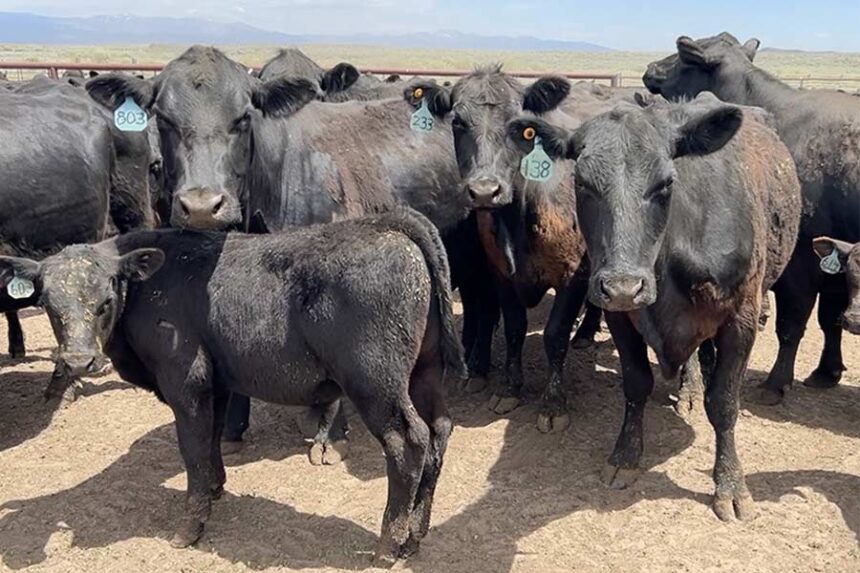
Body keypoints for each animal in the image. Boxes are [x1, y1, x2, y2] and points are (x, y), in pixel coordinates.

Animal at [0, 208, 464, 563]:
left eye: (105, 301)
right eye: (48, 304)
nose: (79, 360)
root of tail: (386, 222)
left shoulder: (185, 383)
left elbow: (191, 449)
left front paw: (190, 526)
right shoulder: (218, 382)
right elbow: (211, 439)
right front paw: (215, 488)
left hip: (375, 382)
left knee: (408, 442)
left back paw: (388, 546)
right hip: (424, 371)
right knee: (439, 430)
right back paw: (415, 536)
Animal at [400, 67, 633, 432]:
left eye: (520, 127)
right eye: (457, 122)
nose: (484, 191)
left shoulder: (573, 276)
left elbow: (554, 335)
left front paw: (553, 404)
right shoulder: (500, 275)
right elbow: (514, 328)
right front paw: (509, 388)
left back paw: (585, 332)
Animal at [506, 95, 801, 520]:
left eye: (666, 184)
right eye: (582, 183)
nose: (624, 286)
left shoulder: (741, 318)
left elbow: (724, 403)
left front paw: (731, 485)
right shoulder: (619, 316)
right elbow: (636, 384)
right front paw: (625, 456)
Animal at [643, 32, 860, 404]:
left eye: (685, 54)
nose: (650, 68)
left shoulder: (802, 258)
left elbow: (793, 323)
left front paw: (777, 382)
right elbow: (830, 318)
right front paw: (826, 371)